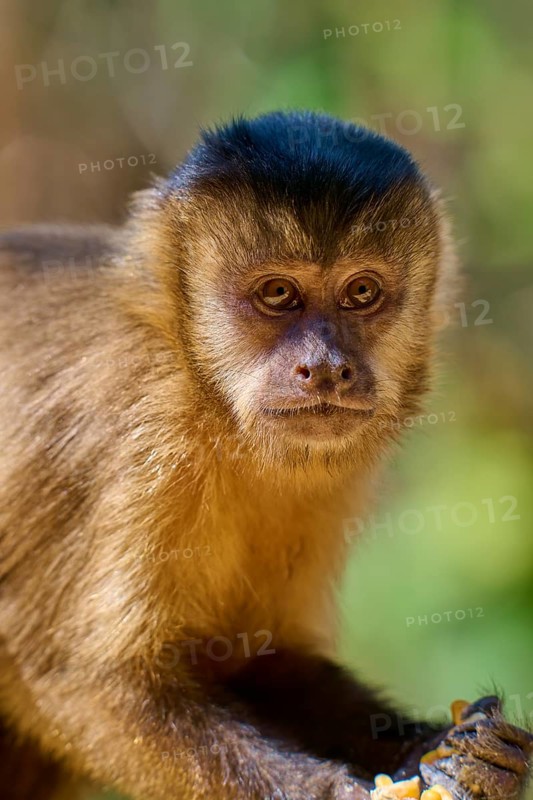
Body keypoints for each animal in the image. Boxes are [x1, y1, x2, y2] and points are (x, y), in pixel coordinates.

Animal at [0, 110, 531, 800]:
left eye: (362, 292)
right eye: (278, 293)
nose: (326, 368)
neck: (204, 393)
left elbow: (262, 660)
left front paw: (451, 752)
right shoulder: (139, 427)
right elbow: (83, 683)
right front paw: (328, 792)